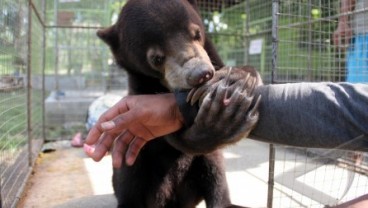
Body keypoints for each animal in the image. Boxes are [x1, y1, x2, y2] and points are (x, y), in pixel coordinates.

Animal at [97, 0, 262, 208]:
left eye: (197, 34)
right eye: (156, 58)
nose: (201, 74)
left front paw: (238, 79)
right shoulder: (139, 92)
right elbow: (166, 133)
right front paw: (218, 122)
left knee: (214, 167)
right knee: (130, 166)